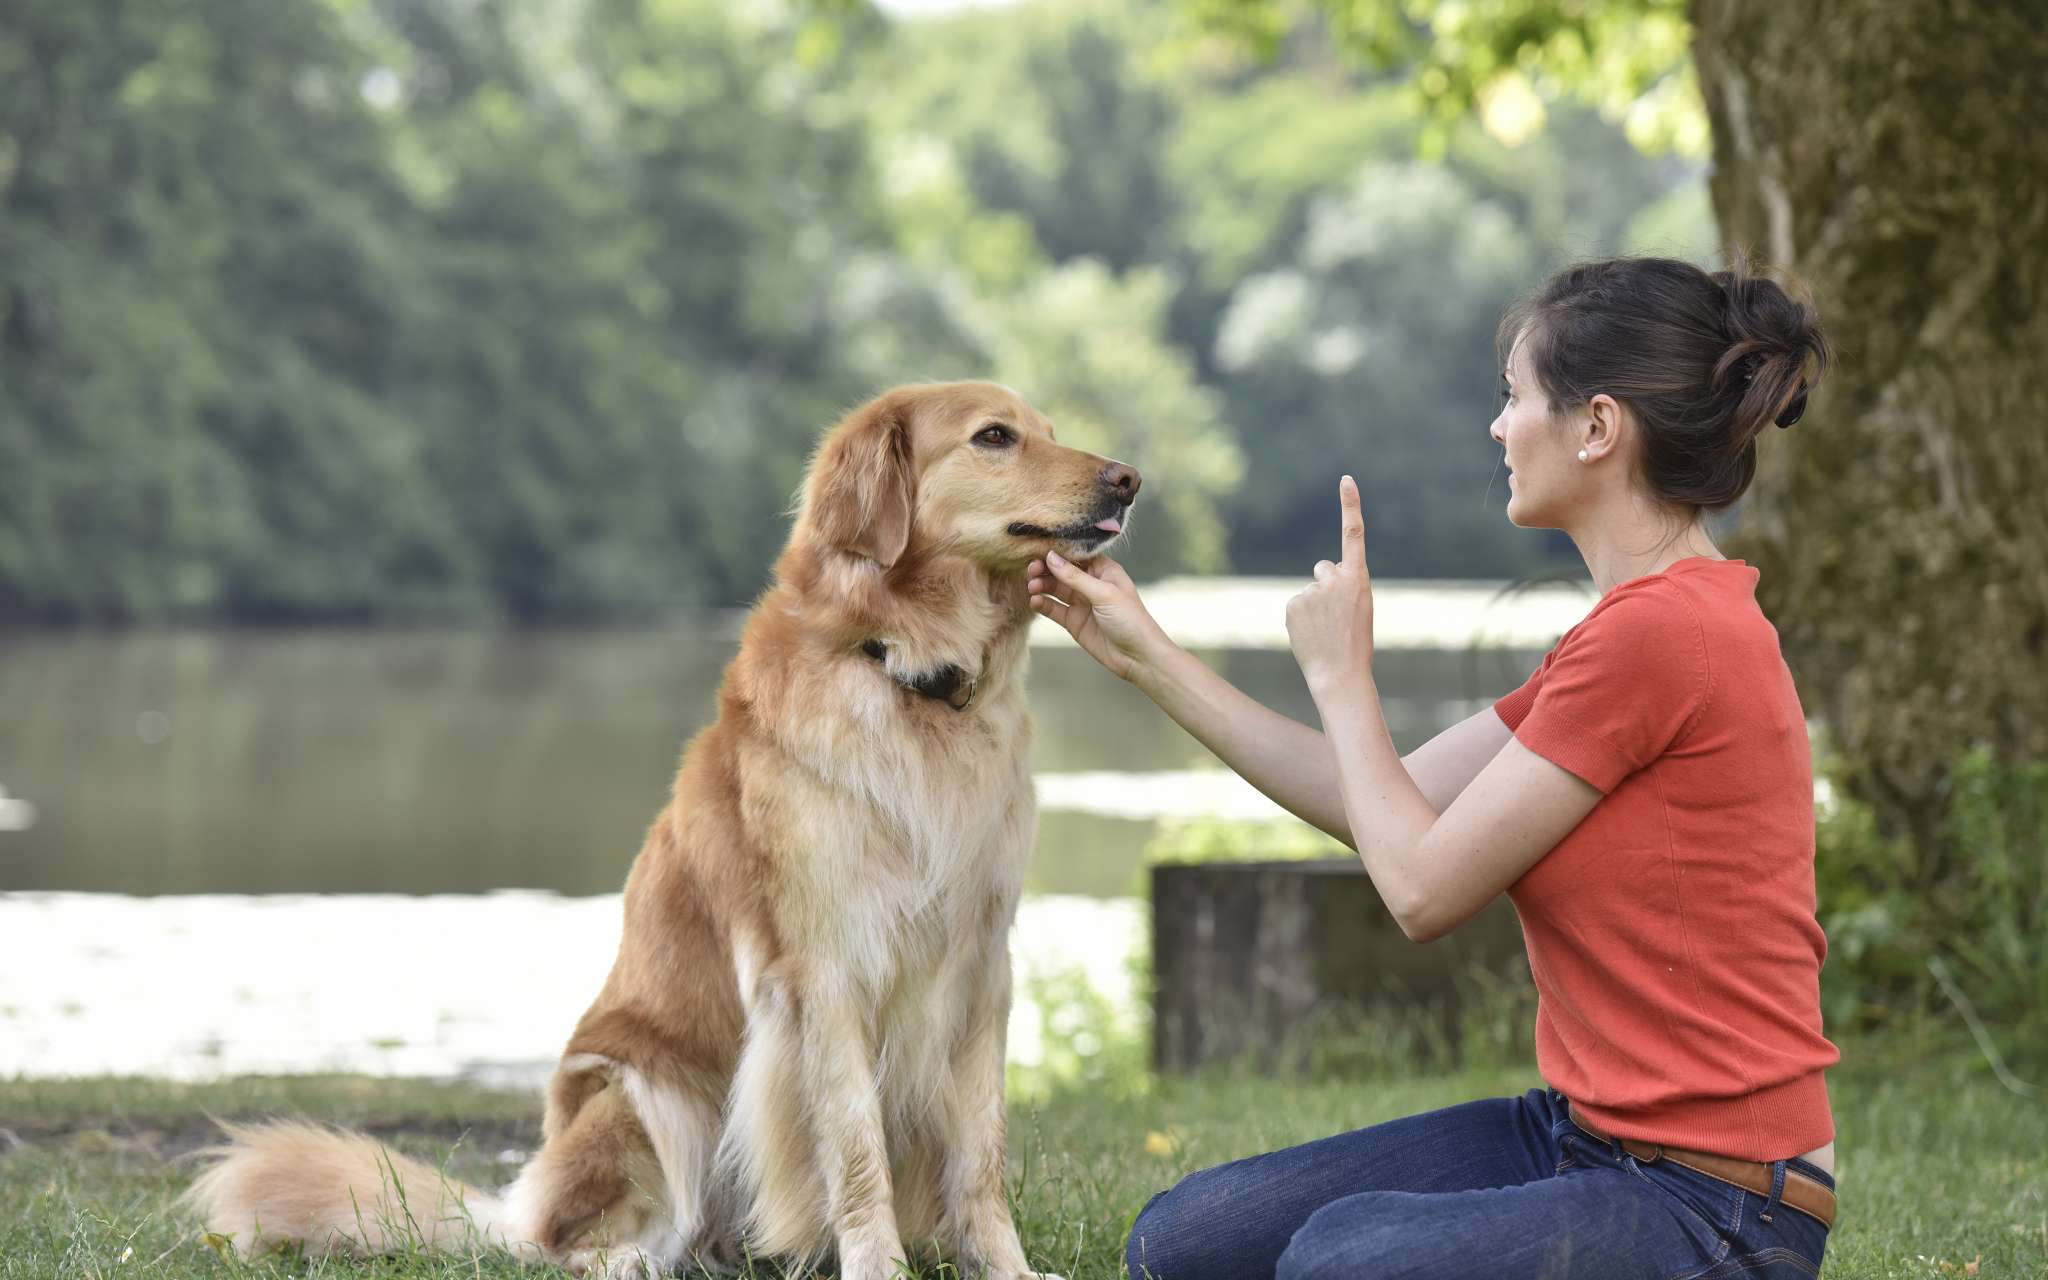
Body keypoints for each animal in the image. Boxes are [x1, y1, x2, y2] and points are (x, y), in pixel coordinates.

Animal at [184, 380, 1146, 1277]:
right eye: (995, 437)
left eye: (1049, 431)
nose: (1129, 480)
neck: (908, 675)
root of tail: (513, 1209)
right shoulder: (827, 970)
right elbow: (856, 1148)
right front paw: (878, 1267)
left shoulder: (981, 966)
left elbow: (981, 1155)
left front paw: (1009, 1269)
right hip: (642, 1095)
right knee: (574, 1245)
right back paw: (633, 1259)